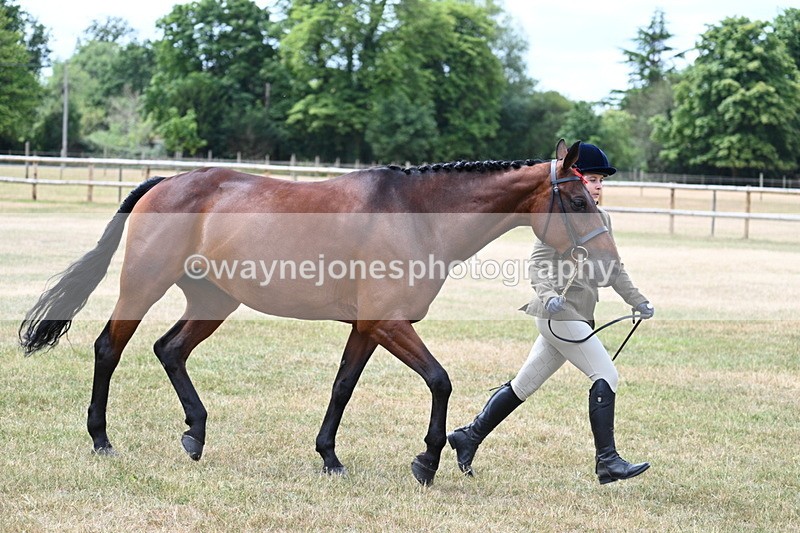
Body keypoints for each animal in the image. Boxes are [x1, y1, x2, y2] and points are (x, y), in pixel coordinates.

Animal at [19, 140, 620, 485]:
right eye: (580, 200)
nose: (608, 262)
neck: (417, 214)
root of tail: (165, 182)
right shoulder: (388, 323)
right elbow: (439, 380)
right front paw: (426, 462)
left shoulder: (368, 328)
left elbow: (342, 387)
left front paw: (329, 457)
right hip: (143, 286)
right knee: (109, 347)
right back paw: (102, 440)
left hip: (214, 300)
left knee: (169, 350)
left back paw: (195, 434)